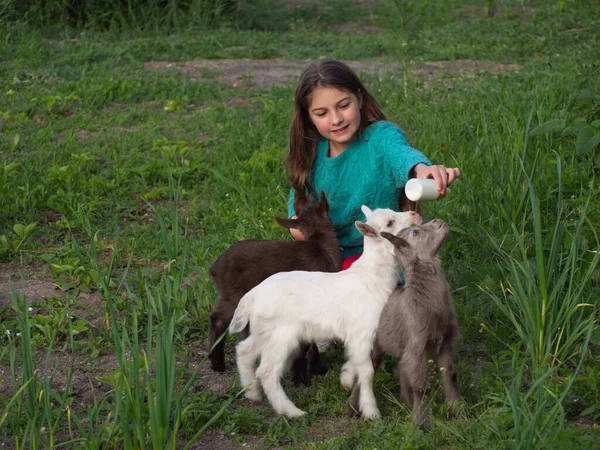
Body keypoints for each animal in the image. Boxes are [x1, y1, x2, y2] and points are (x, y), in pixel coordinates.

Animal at [209, 191, 342, 384]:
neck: (321, 245)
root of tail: (214, 268)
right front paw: (302, 376)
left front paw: (312, 369)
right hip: (235, 294)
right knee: (218, 319)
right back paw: (217, 363)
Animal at [230, 207, 422, 418]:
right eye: (389, 223)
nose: (414, 214)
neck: (372, 278)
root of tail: (251, 296)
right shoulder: (362, 332)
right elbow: (367, 371)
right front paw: (371, 411)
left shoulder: (356, 337)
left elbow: (356, 360)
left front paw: (346, 378)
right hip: (281, 335)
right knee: (267, 371)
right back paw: (292, 411)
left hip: (263, 330)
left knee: (245, 351)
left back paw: (252, 393)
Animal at [346, 220, 464, 430]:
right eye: (416, 232)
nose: (438, 221)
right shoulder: (418, 345)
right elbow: (422, 387)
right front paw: (422, 424)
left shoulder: (445, 341)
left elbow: (451, 376)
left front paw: (457, 409)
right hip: (373, 345)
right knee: (364, 374)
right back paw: (352, 410)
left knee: (401, 368)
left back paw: (406, 402)